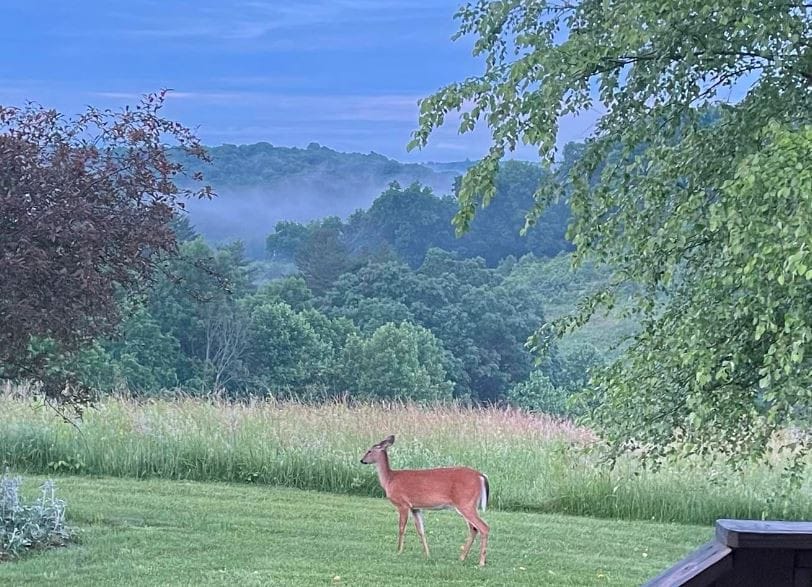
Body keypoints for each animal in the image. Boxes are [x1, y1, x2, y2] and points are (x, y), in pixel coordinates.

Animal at [360, 436, 488, 564]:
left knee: (483, 527)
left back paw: (481, 562)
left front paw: (399, 551)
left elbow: (401, 528)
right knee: (474, 528)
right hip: (467, 505)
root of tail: (481, 476)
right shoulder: (415, 508)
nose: (362, 460)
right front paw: (427, 554)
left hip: (466, 503)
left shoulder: (403, 504)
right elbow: (421, 530)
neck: (389, 479)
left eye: (369, 451)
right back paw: (462, 557)